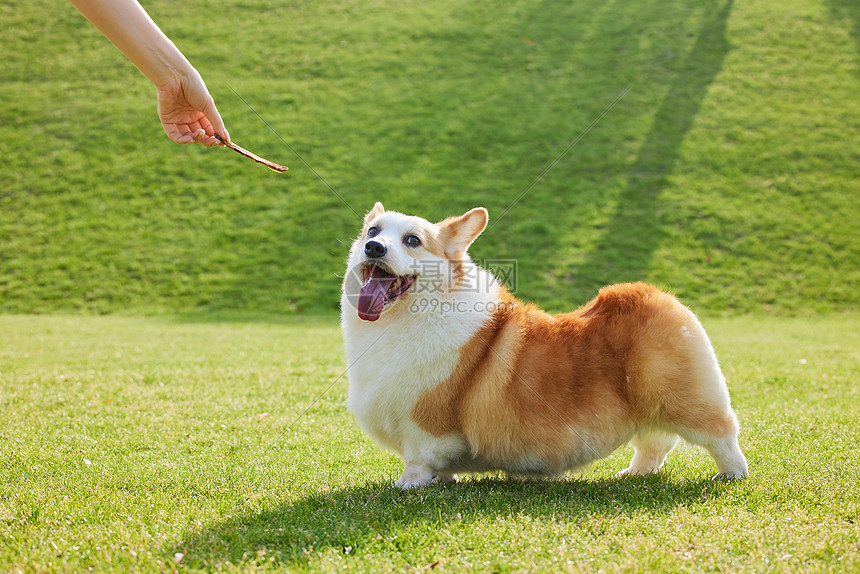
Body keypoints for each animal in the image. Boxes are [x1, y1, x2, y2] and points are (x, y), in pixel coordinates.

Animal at [340, 202, 744, 490]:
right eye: (372, 232)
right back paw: (633, 474)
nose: (373, 248)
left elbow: (419, 459)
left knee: (723, 436)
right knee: (655, 444)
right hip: (650, 408)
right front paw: (444, 480)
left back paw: (731, 475)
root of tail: (654, 294)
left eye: (412, 240)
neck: (401, 319)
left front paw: (407, 485)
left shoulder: (424, 425)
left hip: (688, 400)